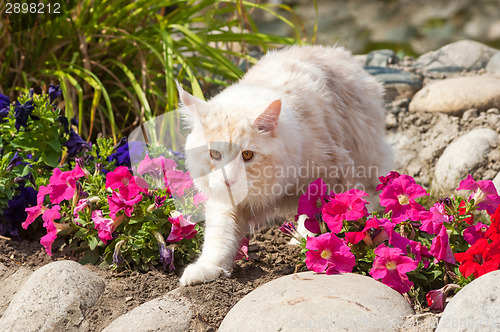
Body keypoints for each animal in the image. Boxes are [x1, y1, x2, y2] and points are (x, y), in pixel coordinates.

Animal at [178, 45, 392, 286]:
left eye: (247, 155)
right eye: (214, 154)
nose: (228, 180)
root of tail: (336, 51)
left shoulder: (335, 168)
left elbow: (336, 213)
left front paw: (335, 245)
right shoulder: (224, 202)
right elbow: (219, 236)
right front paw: (207, 268)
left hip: (367, 152)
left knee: (370, 190)